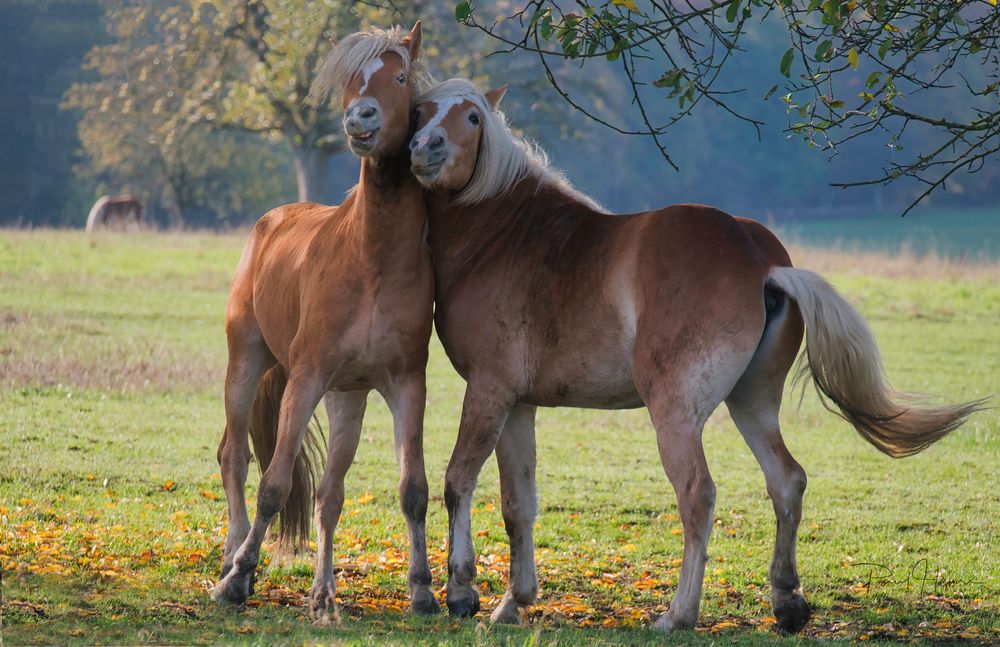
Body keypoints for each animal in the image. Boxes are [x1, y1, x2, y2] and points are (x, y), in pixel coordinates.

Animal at [213, 22, 440, 620]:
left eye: (400, 78)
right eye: (350, 80)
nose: (361, 118)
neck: (372, 259)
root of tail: (271, 220)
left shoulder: (405, 385)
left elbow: (412, 489)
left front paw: (424, 590)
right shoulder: (306, 377)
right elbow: (274, 485)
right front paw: (238, 579)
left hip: (347, 399)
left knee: (327, 495)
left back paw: (323, 595)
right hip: (246, 363)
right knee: (235, 457)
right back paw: (230, 559)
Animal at [408, 78, 984, 636]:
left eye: (473, 117)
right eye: (421, 111)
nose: (424, 147)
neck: (509, 237)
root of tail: (760, 261)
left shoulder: (489, 391)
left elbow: (458, 482)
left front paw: (462, 593)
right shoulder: (520, 404)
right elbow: (518, 505)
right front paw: (514, 603)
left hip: (675, 416)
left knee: (697, 495)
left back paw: (678, 614)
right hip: (753, 405)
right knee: (787, 481)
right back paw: (787, 604)